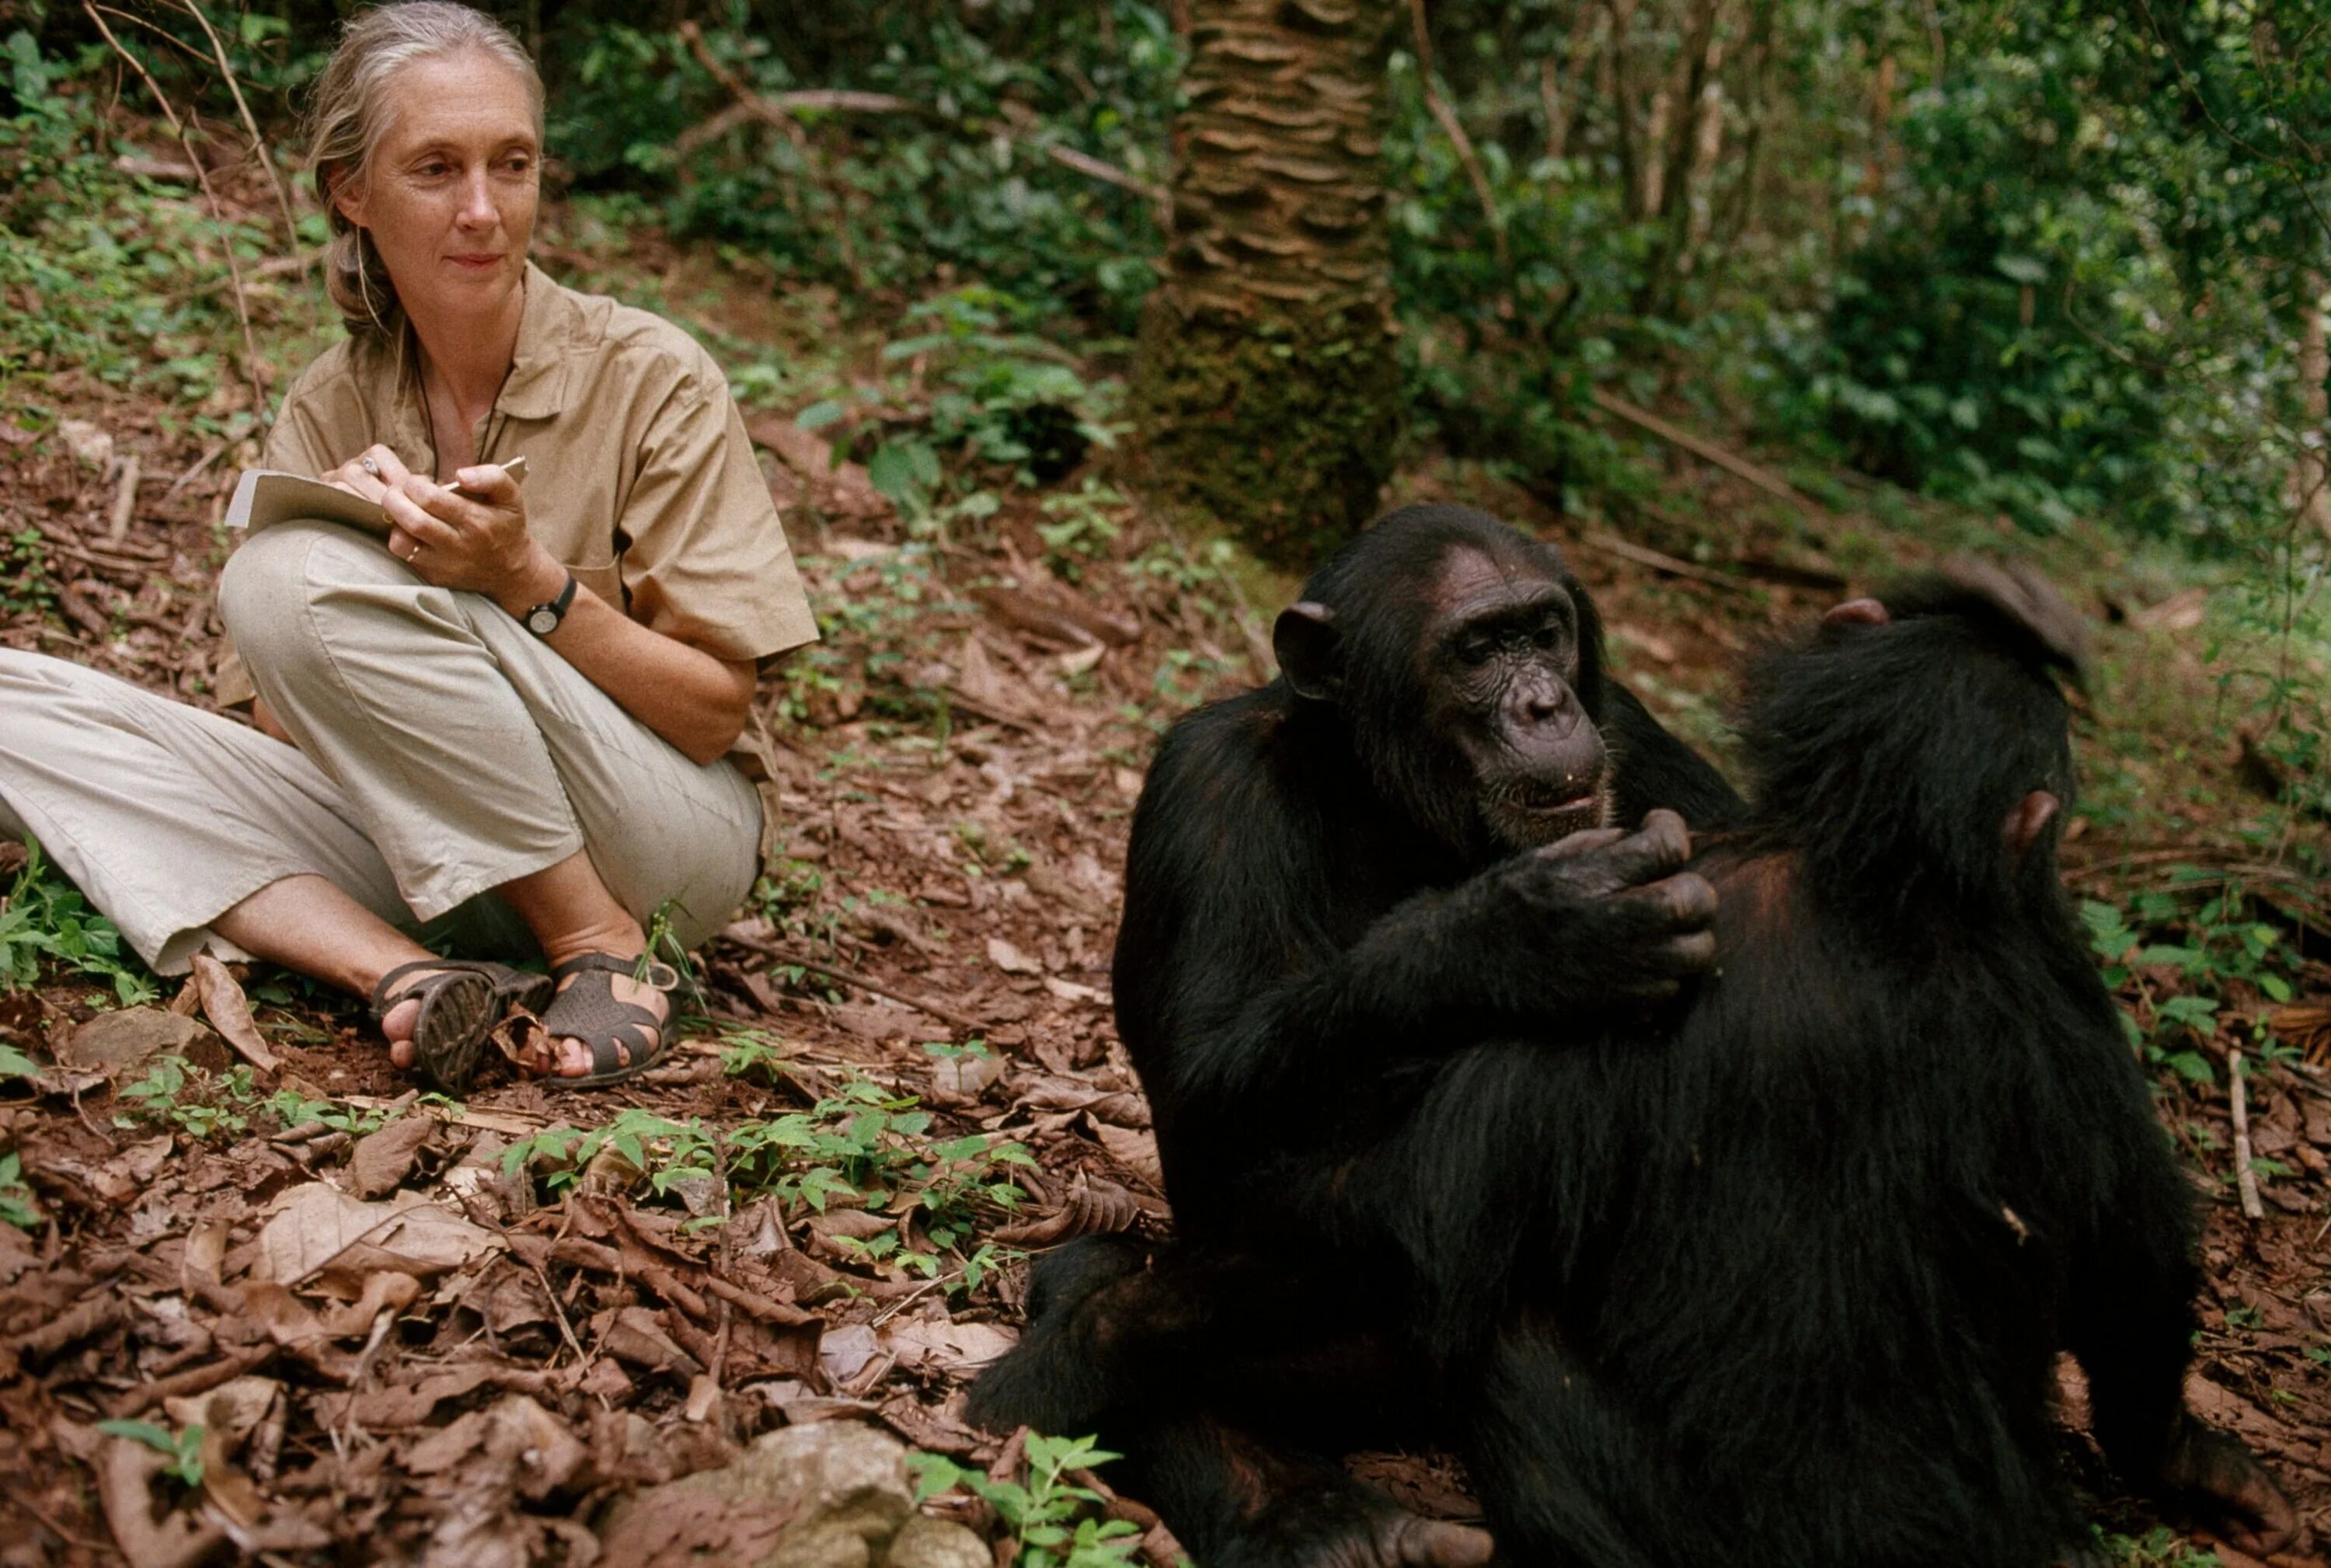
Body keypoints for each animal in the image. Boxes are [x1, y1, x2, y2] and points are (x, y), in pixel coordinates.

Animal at [970, 563, 2294, 1566]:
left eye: (1545, 629)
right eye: (1478, 647)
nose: (1546, 701)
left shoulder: (1649, 742)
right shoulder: (1206, 778)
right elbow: (1208, 1079)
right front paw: (1527, 933)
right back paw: (1320, 1523)